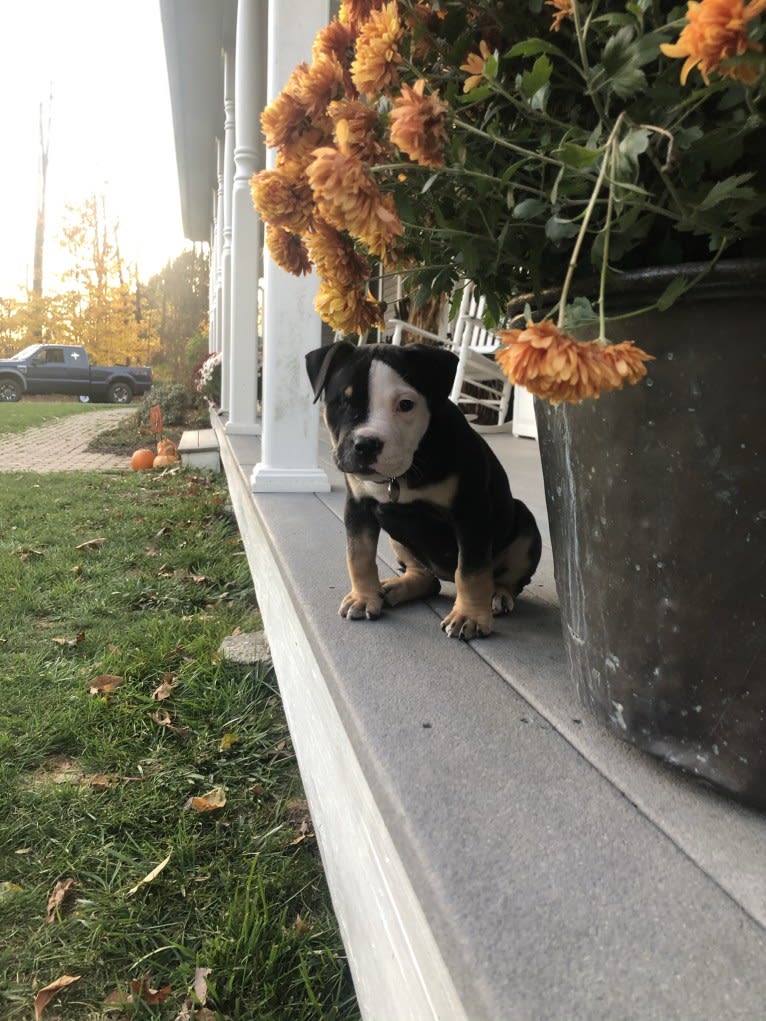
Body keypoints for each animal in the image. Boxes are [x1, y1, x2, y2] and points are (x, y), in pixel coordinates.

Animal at [308, 341, 547, 637]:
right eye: (341, 401)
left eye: (405, 405)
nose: (366, 444)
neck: (401, 475)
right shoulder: (358, 507)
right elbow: (359, 554)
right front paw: (363, 598)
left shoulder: (472, 513)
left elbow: (471, 570)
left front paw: (469, 616)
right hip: (398, 538)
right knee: (426, 577)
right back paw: (394, 587)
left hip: (525, 527)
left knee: (506, 578)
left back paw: (497, 595)